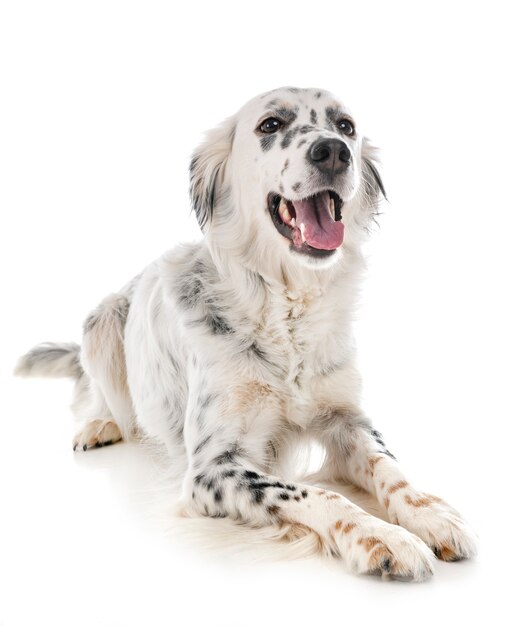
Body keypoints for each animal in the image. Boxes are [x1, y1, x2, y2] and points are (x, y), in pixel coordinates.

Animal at [15, 86, 474, 580]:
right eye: (270, 124)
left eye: (346, 126)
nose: (334, 151)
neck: (285, 307)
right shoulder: (211, 469)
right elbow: (316, 492)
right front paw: (382, 536)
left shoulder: (346, 419)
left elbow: (390, 467)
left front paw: (431, 513)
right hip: (101, 321)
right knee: (104, 396)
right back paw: (101, 424)